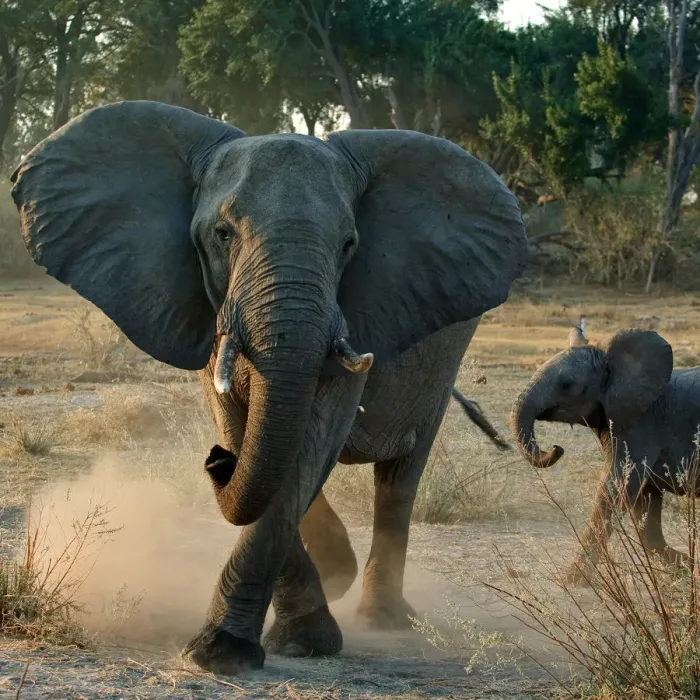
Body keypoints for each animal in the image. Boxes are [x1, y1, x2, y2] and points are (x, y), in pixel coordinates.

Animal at [11, 100, 527, 675]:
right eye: (222, 234)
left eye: (349, 245)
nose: (215, 461)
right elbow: (250, 433)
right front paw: (298, 622)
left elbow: (310, 441)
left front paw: (229, 650)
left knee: (399, 476)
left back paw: (385, 619)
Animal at [511, 324, 700, 583]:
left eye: (567, 384)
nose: (557, 448)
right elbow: (644, 501)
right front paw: (688, 565)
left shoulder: (641, 424)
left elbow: (616, 487)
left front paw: (572, 581)